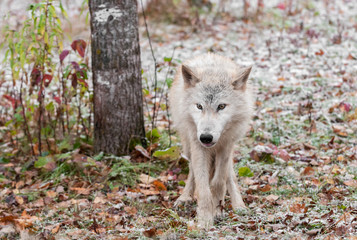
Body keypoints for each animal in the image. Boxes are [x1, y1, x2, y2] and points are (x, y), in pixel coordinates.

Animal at [168, 53, 253, 228]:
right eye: (199, 106)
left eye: (221, 106)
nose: (206, 137)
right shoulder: (198, 146)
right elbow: (203, 187)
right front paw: (205, 220)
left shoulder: (226, 145)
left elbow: (219, 182)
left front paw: (217, 210)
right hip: (188, 146)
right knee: (192, 172)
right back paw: (185, 197)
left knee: (229, 174)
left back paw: (238, 205)